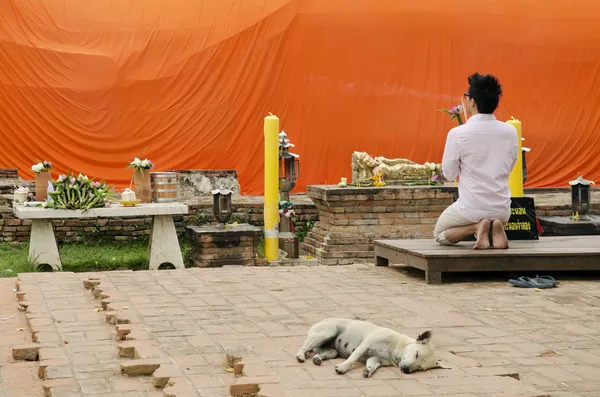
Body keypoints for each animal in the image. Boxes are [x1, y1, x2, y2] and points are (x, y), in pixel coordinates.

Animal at [296, 318, 440, 376]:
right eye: (416, 354)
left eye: (420, 368)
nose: (406, 370)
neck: (395, 349)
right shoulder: (364, 346)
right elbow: (352, 359)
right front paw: (342, 368)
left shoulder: (376, 359)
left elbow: (372, 365)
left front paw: (368, 371)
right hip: (327, 332)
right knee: (304, 346)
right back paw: (301, 355)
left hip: (331, 350)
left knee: (322, 352)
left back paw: (317, 358)